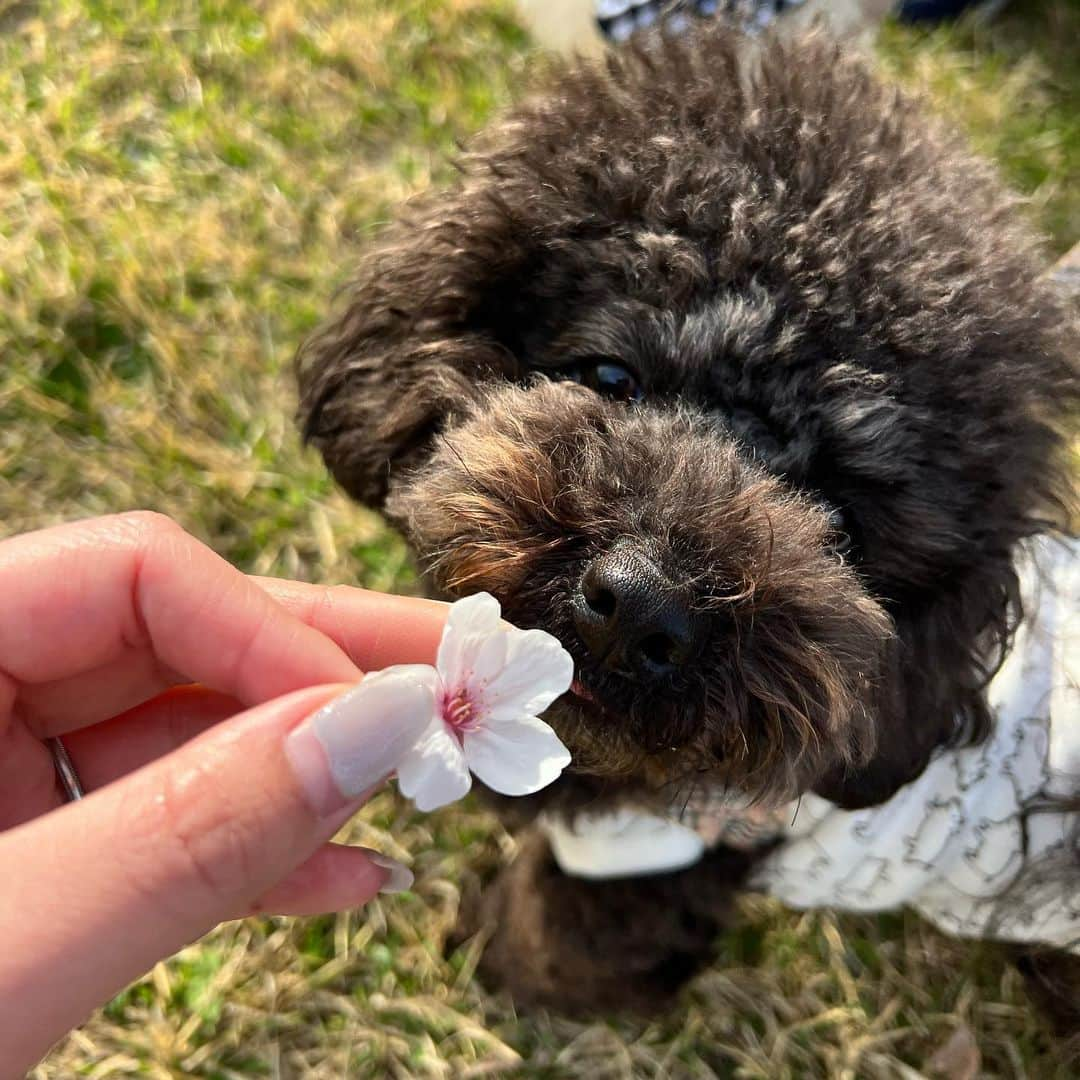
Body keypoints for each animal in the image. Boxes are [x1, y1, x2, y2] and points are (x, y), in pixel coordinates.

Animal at [298, 29, 1080, 1028]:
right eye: (610, 375)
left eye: (836, 515)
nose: (640, 605)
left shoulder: (645, 867)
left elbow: (557, 945)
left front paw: (495, 958)